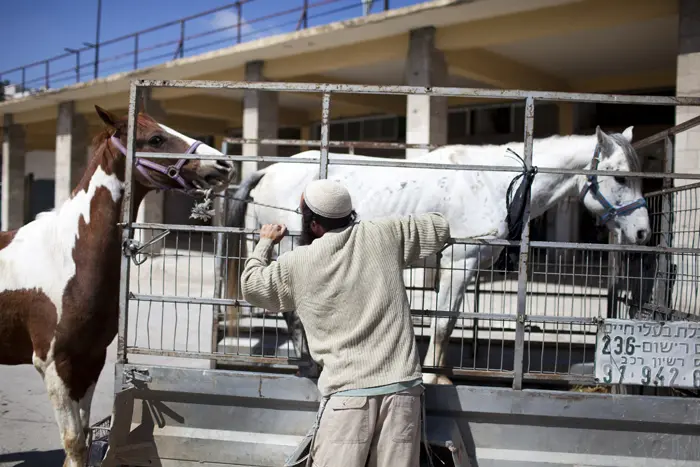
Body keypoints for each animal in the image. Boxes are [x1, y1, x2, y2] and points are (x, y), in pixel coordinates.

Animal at [0, 107, 237, 467]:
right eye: (156, 139)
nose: (224, 165)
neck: (67, 255)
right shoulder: (54, 364)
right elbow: (74, 442)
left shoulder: (90, 358)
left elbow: (83, 436)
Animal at [228, 126, 652, 386]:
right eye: (619, 177)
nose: (643, 233)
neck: (495, 182)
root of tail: (269, 170)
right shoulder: (458, 264)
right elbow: (444, 322)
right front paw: (433, 375)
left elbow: (450, 319)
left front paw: (442, 371)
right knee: (292, 313)